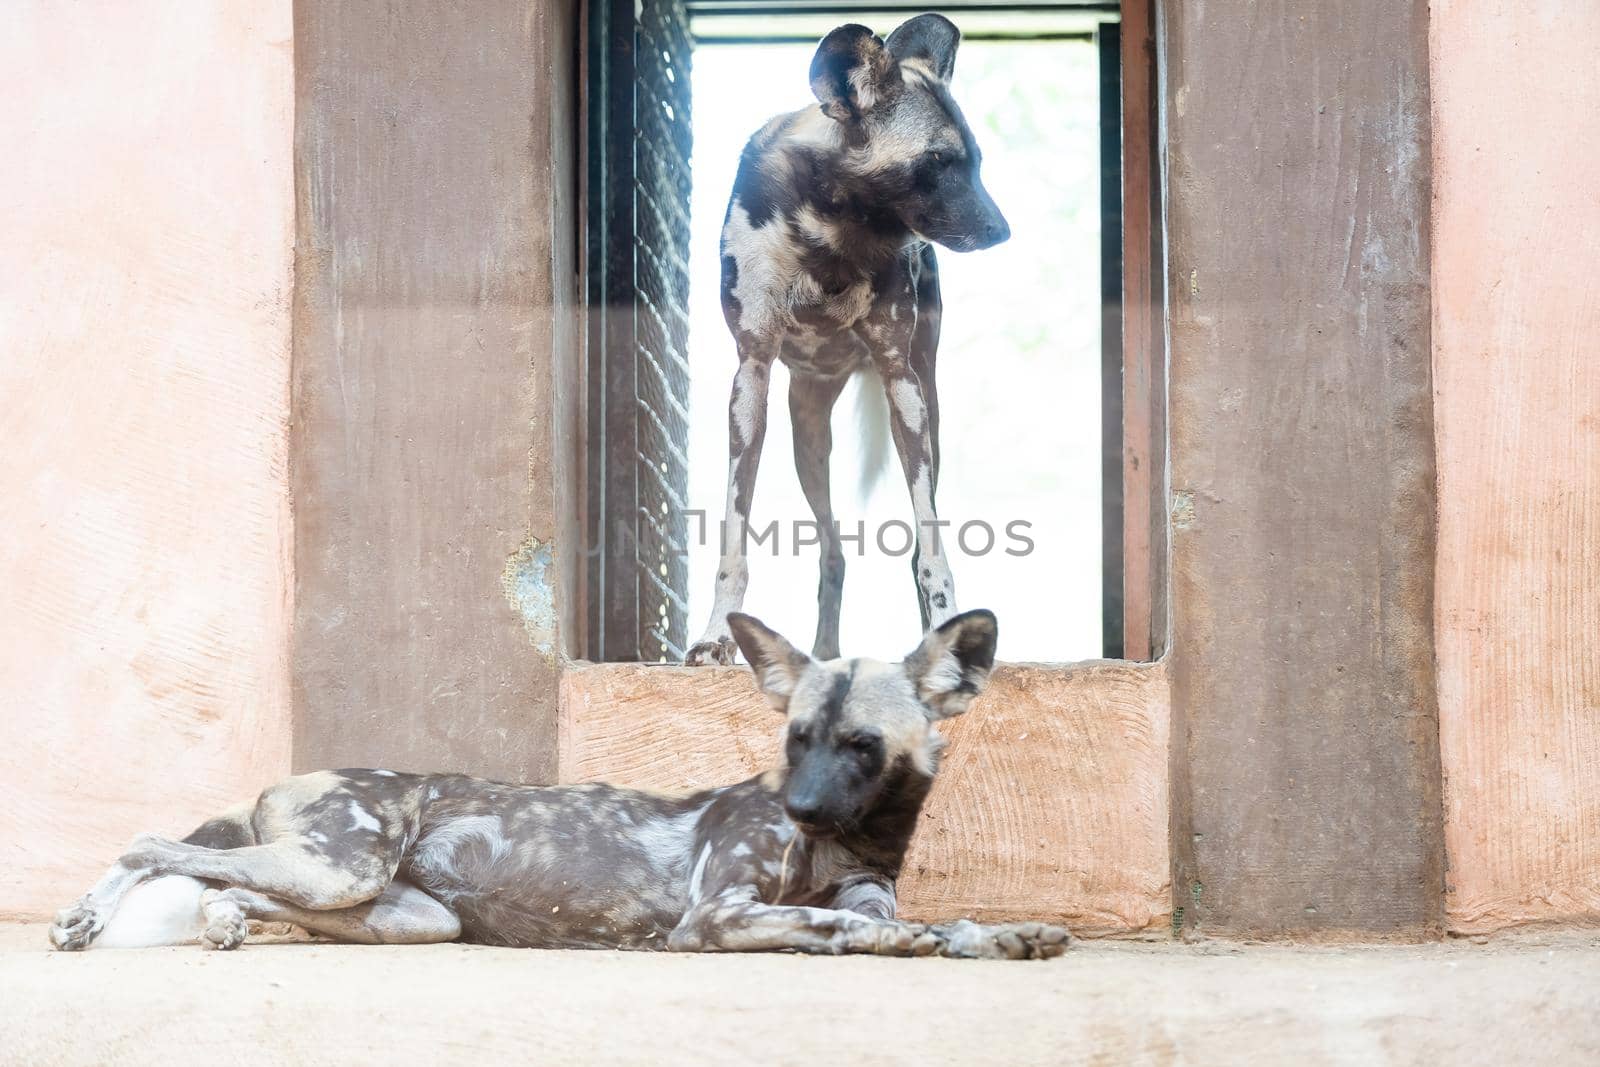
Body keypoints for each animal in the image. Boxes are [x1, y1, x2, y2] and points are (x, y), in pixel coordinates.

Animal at [50, 604, 1068, 966]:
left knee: (232, 885)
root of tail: (291, 772)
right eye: (795, 737)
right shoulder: (716, 916)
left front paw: (1002, 934)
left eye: (861, 744)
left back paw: (221, 921)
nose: (801, 807)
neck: (846, 842)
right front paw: (908, 944)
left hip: (401, 910)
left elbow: (919, 916)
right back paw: (84, 921)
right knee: (151, 843)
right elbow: (848, 924)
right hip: (344, 867)